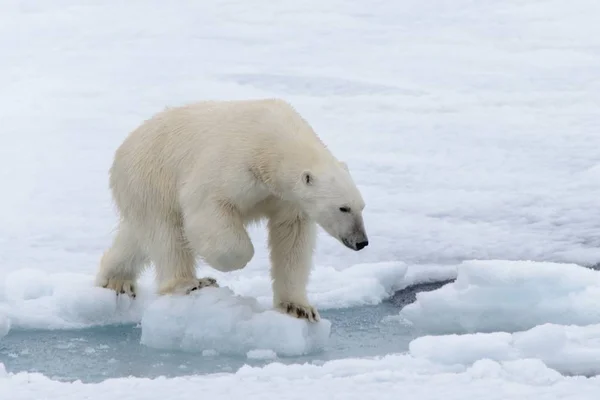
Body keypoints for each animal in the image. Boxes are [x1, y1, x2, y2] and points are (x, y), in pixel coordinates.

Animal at [95, 97, 368, 322]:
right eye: (343, 208)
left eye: (362, 207)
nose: (361, 241)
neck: (271, 141)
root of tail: (124, 148)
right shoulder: (232, 164)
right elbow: (207, 209)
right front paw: (233, 259)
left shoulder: (287, 199)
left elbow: (292, 240)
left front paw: (298, 308)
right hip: (150, 178)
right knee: (166, 234)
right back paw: (190, 283)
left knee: (136, 238)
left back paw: (116, 280)